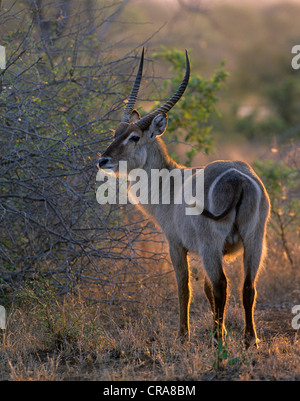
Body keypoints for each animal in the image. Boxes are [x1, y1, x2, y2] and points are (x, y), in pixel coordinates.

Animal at [98, 47, 270, 346]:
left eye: (134, 136)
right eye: (116, 133)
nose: (103, 160)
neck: (169, 185)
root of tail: (236, 177)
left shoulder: (177, 245)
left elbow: (185, 288)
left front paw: (183, 335)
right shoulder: (205, 251)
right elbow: (206, 289)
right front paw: (218, 329)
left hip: (214, 244)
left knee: (222, 285)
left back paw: (218, 340)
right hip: (254, 240)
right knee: (248, 287)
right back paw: (249, 339)